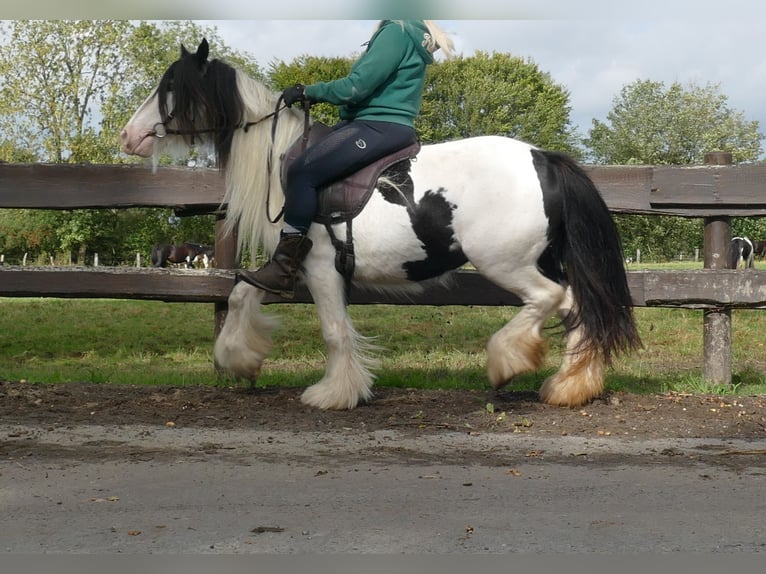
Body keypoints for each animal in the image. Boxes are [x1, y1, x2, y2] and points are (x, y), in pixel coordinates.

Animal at [118, 39, 640, 410]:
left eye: (171, 86)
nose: (128, 136)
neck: (282, 159)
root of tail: (543, 157)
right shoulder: (286, 267)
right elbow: (242, 294)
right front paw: (239, 360)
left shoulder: (320, 268)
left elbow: (333, 331)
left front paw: (333, 394)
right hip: (538, 261)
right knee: (576, 308)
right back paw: (570, 386)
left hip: (506, 262)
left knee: (549, 300)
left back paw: (506, 363)